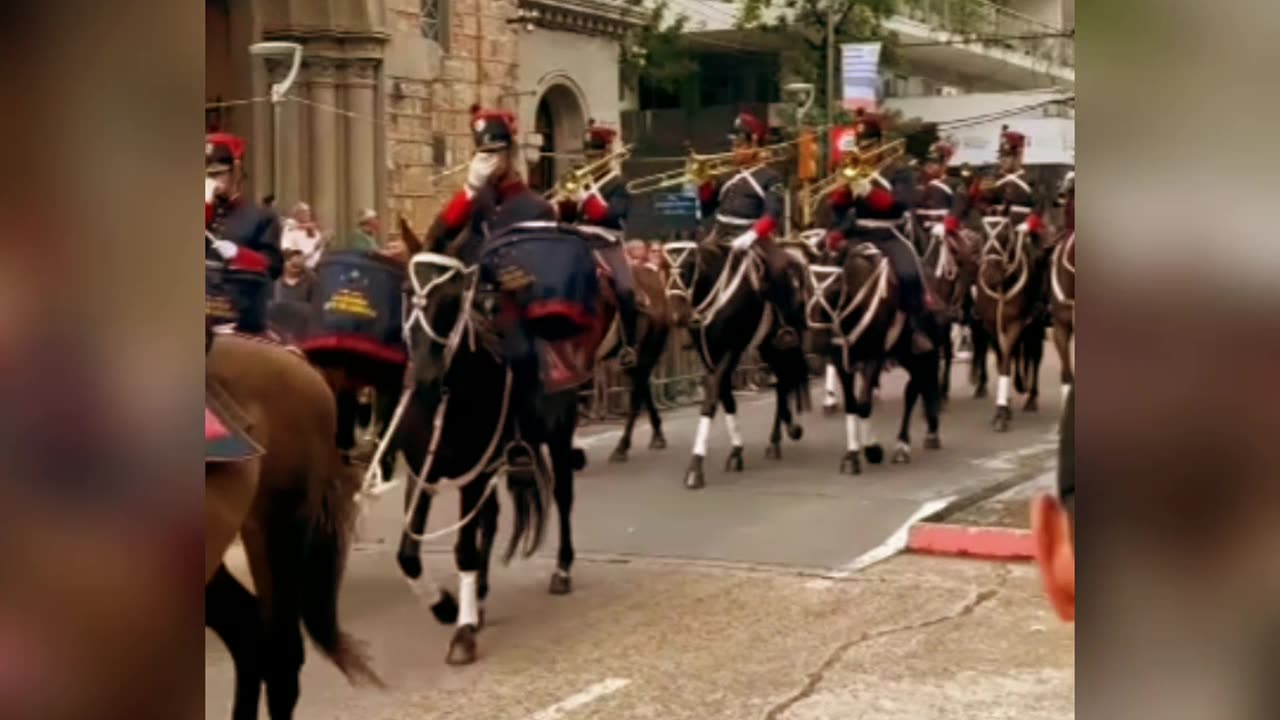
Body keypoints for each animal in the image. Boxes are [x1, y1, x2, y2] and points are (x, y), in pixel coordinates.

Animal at [660, 240, 808, 486]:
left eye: (689, 265)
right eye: (661, 266)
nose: (676, 316)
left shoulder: (731, 349)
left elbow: (711, 399)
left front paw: (695, 467)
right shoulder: (708, 355)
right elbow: (725, 397)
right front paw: (737, 450)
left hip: (784, 344)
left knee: (786, 379)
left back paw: (782, 435)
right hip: (766, 347)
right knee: (782, 382)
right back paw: (782, 434)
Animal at [803, 235, 947, 471]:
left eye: (835, 289)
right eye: (806, 285)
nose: (815, 346)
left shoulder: (873, 358)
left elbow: (863, 405)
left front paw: (872, 450)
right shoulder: (842, 361)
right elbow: (852, 405)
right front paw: (852, 454)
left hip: (922, 354)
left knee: (914, 391)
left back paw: (906, 443)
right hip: (906, 356)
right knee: (919, 386)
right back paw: (925, 434)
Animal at [972, 213, 1044, 430]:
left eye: (1005, 234)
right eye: (982, 232)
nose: (990, 276)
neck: (1002, 286)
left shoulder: (1015, 324)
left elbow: (1005, 362)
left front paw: (1001, 412)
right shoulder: (991, 327)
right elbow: (1001, 361)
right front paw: (1004, 407)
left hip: (1035, 327)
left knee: (1035, 357)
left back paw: (1031, 399)